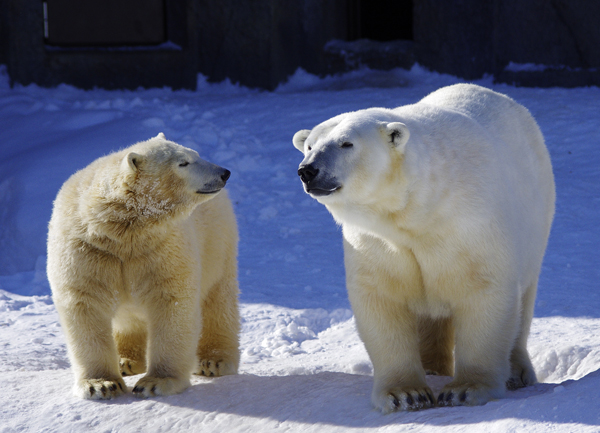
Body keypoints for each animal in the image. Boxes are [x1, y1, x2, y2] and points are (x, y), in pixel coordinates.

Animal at [47, 132, 239, 398]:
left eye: (196, 155)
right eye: (184, 162)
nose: (224, 173)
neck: (121, 231)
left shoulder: (162, 248)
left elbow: (172, 302)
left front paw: (155, 382)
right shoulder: (88, 252)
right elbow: (85, 304)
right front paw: (101, 384)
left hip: (217, 242)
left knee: (218, 299)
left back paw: (215, 361)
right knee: (129, 318)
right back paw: (125, 361)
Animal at [292, 84, 556, 412]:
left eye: (346, 143)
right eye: (309, 146)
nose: (308, 170)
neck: (419, 207)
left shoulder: (469, 224)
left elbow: (482, 289)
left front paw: (465, 389)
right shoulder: (376, 242)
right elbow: (382, 299)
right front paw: (406, 394)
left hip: (536, 219)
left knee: (523, 298)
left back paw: (516, 373)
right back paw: (431, 367)